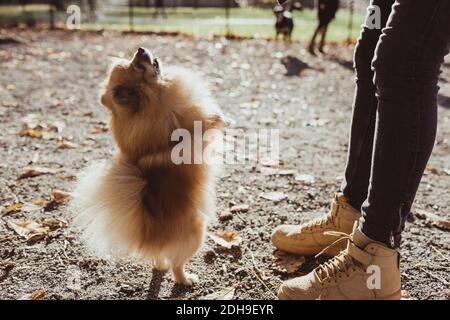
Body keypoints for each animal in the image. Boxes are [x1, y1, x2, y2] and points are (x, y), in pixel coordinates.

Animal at [73, 47, 225, 284]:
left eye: (133, 60)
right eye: (137, 65)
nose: (140, 49)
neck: (155, 100)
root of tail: (148, 234)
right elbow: (207, 124)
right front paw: (219, 119)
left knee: (159, 258)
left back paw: (160, 266)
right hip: (197, 232)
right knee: (176, 265)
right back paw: (187, 279)